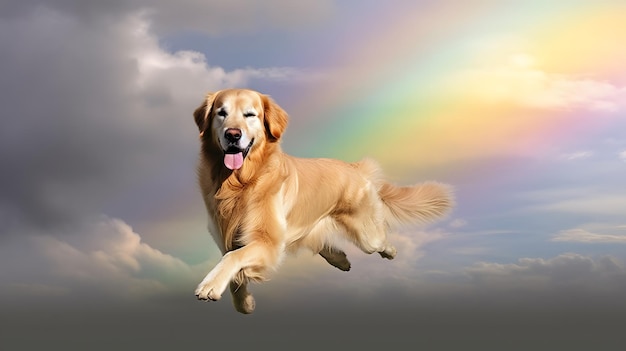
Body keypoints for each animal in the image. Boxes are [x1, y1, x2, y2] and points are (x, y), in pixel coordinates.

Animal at [193, 89, 450, 314]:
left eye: (250, 114)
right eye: (221, 113)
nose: (232, 134)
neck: (240, 183)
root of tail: (356, 167)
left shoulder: (267, 242)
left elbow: (233, 258)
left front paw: (210, 285)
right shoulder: (227, 237)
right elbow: (233, 269)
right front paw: (244, 304)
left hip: (367, 236)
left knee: (379, 240)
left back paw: (390, 251)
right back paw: (341, 260)